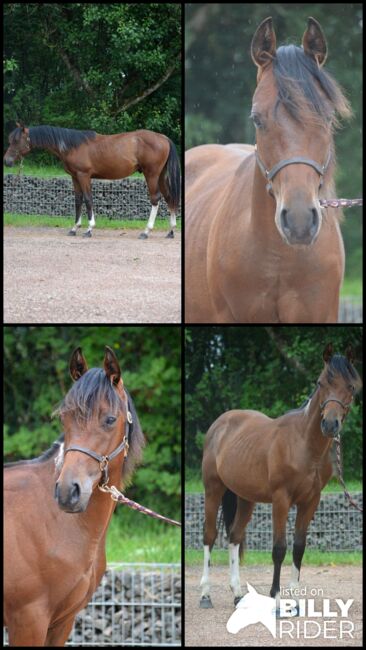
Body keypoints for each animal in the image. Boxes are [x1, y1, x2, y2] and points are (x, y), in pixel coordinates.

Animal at [2, 123, 180, 237]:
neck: (72, 145)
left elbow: (88, 199)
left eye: (16, 140)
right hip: (161, 176)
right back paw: (170, 231)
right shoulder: (75, 177)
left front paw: (89, 229)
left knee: (156, 199)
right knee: (169, 198)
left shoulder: (84, 176)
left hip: (151, 175)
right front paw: (74, 228)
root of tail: (163, 138)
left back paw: (146, 231)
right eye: (10, 140)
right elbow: (78, 200)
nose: (7, 161)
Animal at [200, 344, 360, 608]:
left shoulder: (310, 501)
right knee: (209, 536)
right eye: (321, 383)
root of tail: (219, 424)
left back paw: (237, 594)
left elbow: (298, 547)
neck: (303, 445)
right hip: (213, 489)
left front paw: (293, 599)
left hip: (246, 499)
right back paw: (205, 595)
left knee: (234, 537)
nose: (329, 425)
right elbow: (278, 549)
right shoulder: (281, 499)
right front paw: (276, 599)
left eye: (351, 386)